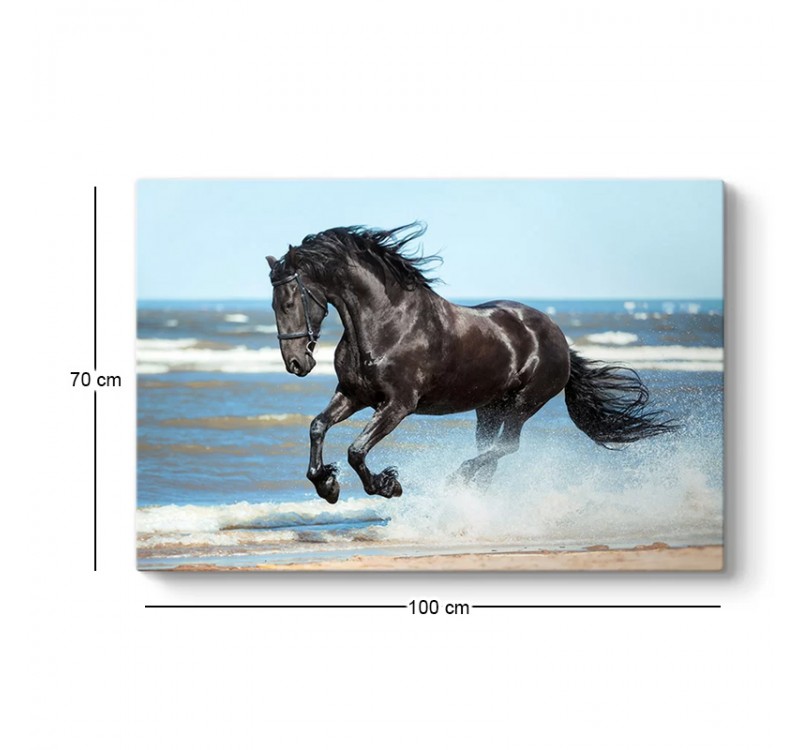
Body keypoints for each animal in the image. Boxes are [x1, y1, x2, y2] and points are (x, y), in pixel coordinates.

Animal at [267, 223, 674, 504]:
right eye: (272, 304)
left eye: (289, 301)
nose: (296, 363)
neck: (387, 323)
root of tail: (558, 337)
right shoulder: (353, 395)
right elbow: (318, 427)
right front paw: (327, 484)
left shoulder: (398, 405)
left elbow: (356, 450)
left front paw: (387, 485)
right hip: (489, 408)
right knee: (490, 454)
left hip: (524, 403)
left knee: (506, 448)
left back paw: (457, 481)